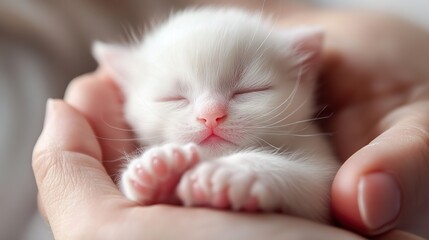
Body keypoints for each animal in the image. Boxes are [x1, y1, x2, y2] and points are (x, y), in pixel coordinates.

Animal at [93, 6, 338, 222]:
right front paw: (158, 169)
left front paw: (231, 172)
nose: (211, 115)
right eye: (172, 97)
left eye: (249, 90)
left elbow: (316, 184)